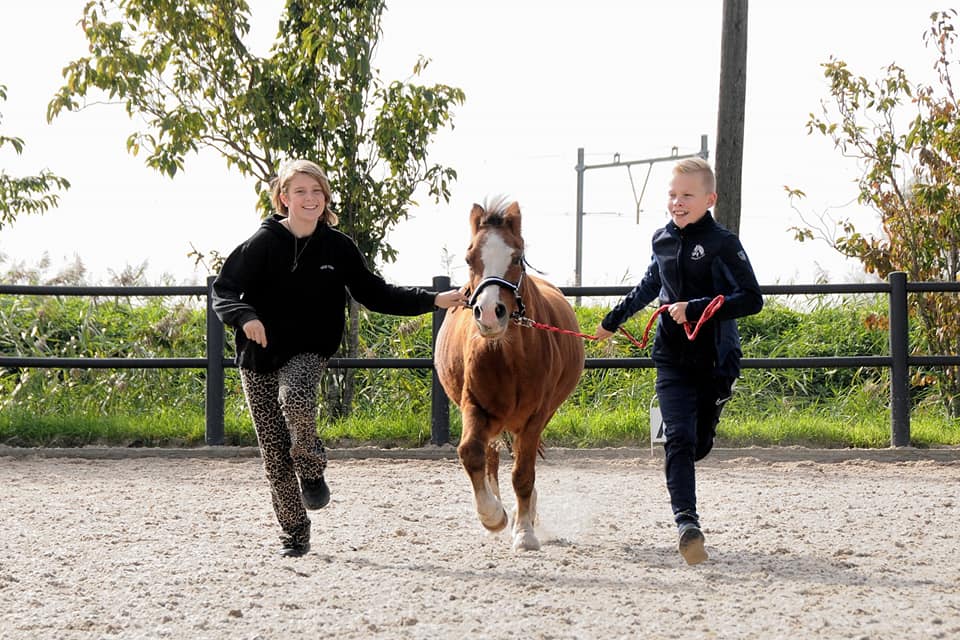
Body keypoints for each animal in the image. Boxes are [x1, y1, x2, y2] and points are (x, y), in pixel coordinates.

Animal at [434, 199, 585, 551]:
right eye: (469, 258)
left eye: (516, 257)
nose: (490, 313)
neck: (510, 357)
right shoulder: (475, 407)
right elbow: (471, 453)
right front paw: (493, 516)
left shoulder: (535, 416)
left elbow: (523, 473)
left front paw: (525, 531)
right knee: (490, 457)